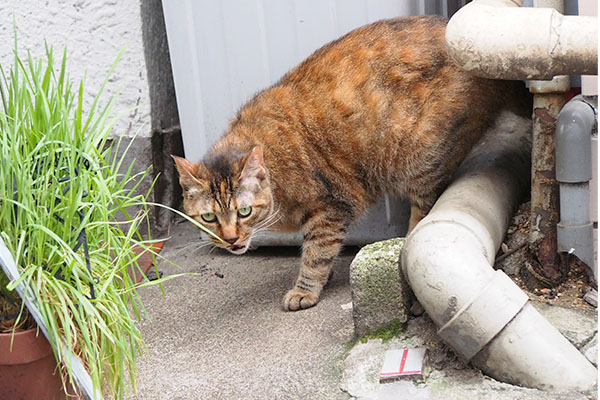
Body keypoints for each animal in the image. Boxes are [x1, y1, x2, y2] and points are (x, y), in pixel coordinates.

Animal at [172, 15, 528, 310]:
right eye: (208, 217)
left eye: (244, 211)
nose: (230, 239)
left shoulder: (330, 207)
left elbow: (317, 253)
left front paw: (306, 288)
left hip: (422, 157)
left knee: (425, 208)